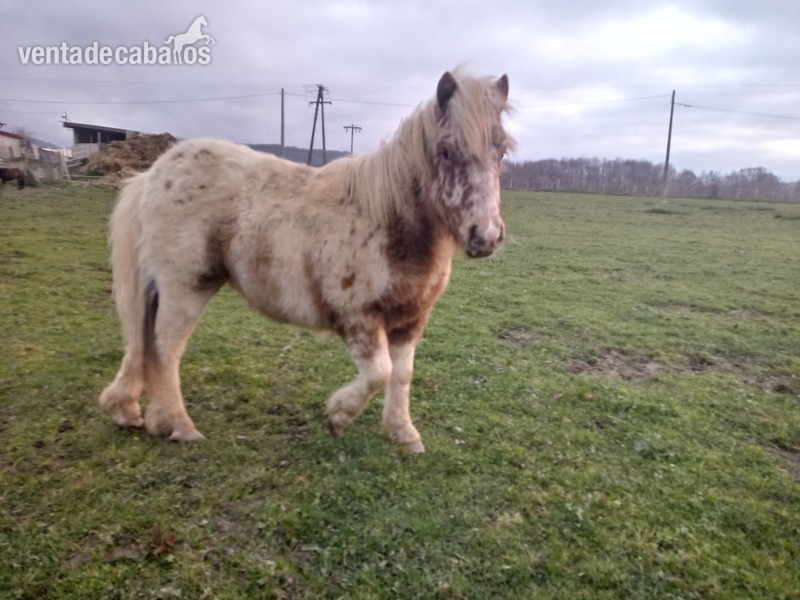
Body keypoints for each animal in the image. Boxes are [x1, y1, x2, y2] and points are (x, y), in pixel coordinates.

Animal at [99, 68, 514, 453]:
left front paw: (403, 433)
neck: (389, 222)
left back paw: (128, 411)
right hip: (186, 287)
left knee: (142, 342)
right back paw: (178, 425)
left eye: (502, 151)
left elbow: (402, 374)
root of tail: (154, 174)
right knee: (166, 348)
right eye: (446, 151)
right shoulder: (358, 317)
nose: (485, 236)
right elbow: (379, 373)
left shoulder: (410, 319)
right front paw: (338, 416)